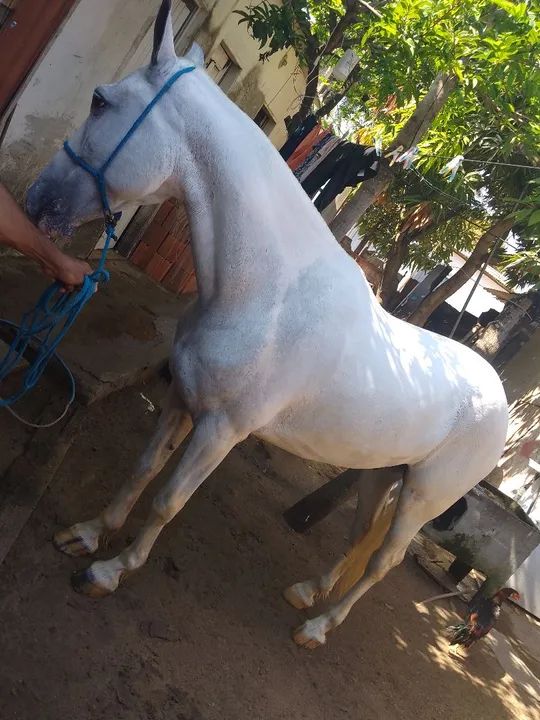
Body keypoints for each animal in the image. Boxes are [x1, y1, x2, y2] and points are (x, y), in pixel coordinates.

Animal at [26, 0, 508, 649]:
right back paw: (307, 592)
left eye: (101, 100)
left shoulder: (223, 428)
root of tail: (498, 395)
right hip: (380, 475)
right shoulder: (183, 396)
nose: (36, 201)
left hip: (423, 497)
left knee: (382, 562)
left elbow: (168, 500)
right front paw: (87, 532)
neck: (267, 296)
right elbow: (144, 469)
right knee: (359, 539)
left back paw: (318, 627)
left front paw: (108, 570)